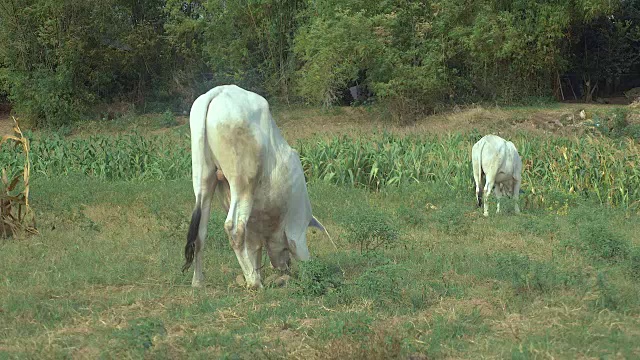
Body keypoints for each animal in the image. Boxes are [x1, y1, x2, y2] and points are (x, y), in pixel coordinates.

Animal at [181, 84, 328, 290]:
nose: (285, 265)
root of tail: (219, 92)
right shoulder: (296, 223)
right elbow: (297, 248)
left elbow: (254, 246)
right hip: (243, 183)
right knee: (234, 228)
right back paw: (253, 282)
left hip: (204, 178)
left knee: (201, 232)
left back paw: (198, 281)